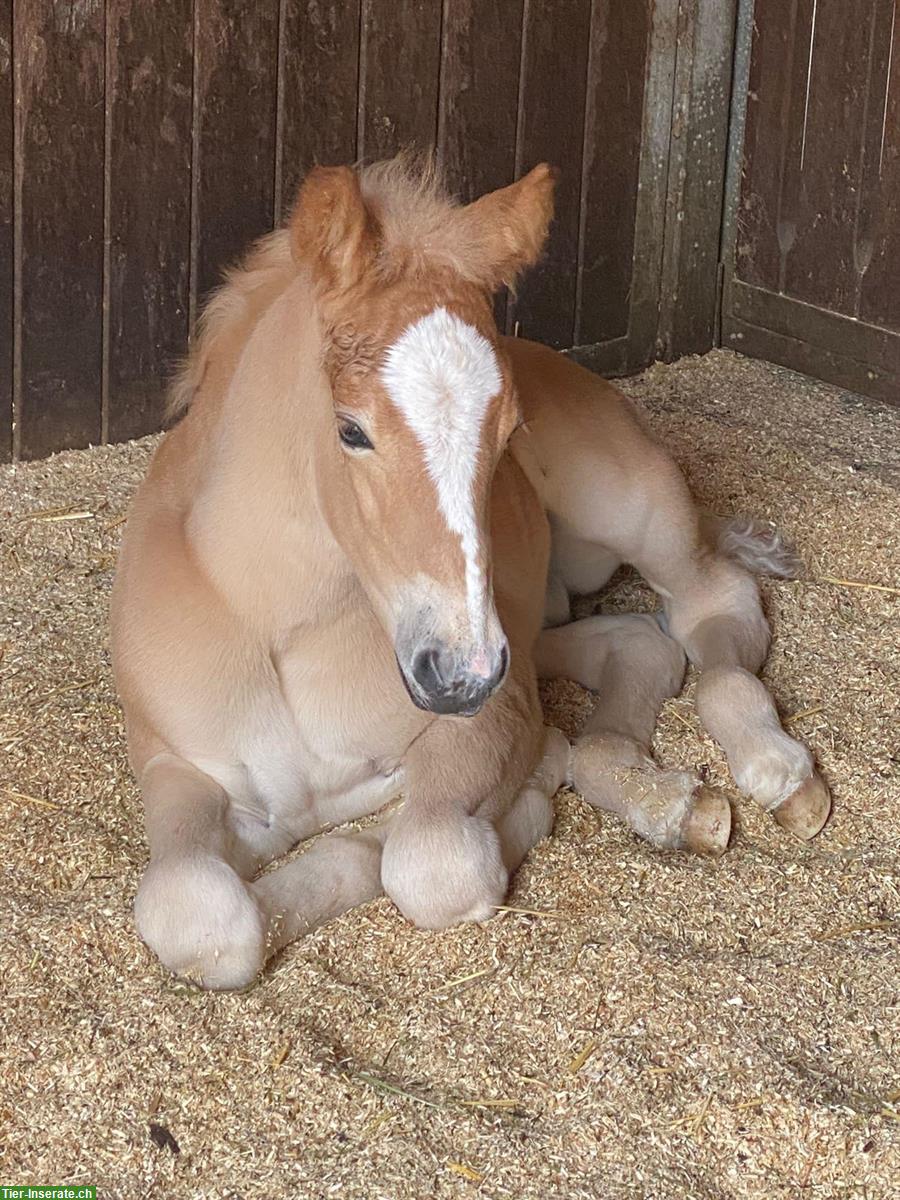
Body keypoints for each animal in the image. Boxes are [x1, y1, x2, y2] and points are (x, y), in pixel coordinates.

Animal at [114, 159, 830, 988]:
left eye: (510, 429)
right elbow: (207, 920)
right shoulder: (179, 768)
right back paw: (669, 802)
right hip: (532, 623)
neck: (274, 624)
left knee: (712, 609)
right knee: (641, 645)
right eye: (350, 430)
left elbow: (426, 863)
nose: (461, 673)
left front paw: (533, 788)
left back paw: (778, 773)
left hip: (627, 516)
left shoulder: (488, 720)